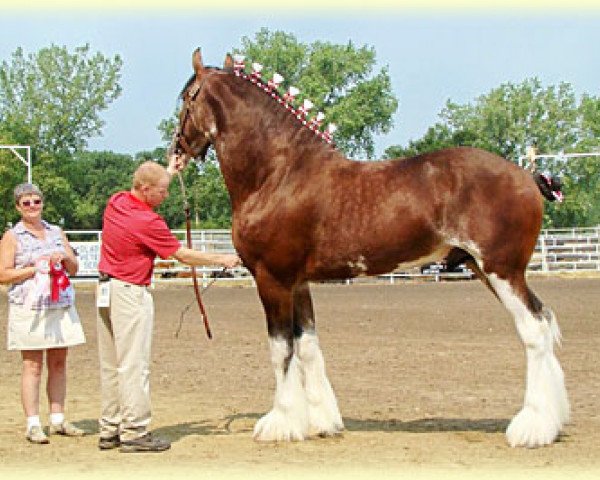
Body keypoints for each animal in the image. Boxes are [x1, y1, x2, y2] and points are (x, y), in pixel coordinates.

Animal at [171, 48, 568, 450]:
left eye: (186, 99)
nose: (176, 152)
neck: (277, 174)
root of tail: (526, 175)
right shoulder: (298, 283)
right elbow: (308, 346)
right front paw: (321, 422)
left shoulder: (273, 279)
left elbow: (281, 349)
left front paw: (280, 423)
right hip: (489, 270)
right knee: (544, 319)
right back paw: (549, 423)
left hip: (501, 270)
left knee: (534, 329)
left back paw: (531, 428)